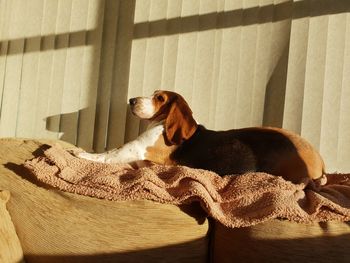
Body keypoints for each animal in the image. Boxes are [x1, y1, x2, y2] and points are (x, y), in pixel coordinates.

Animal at [79, 91, 326, 186]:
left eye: (160, 98)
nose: (131, 100)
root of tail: (320, 158)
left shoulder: (136, 148)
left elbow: (107, 154)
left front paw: (81, 153)